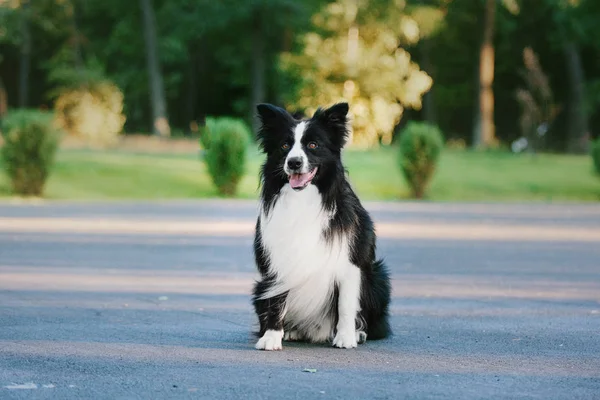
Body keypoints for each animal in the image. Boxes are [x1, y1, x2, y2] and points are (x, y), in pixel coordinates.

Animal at [251, 102, 392, 350]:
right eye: (285, 145)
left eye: (313, 145)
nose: (294, 162)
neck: (304, 198)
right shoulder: (277, 259)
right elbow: (275, 300)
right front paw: (271, 337)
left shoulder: (350, 261)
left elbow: (346, 304)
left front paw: (346, 336)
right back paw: (292, 331)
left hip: (378, 278)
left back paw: (359, 332)